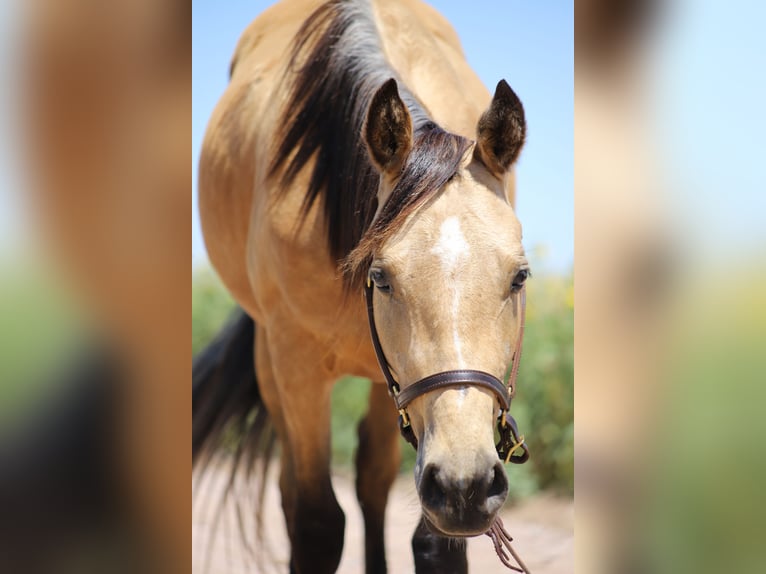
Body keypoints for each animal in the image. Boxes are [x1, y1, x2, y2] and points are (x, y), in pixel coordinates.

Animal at [194, 1, 536, 574]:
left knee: (372, 482)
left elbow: (433, 543)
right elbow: (316, 523)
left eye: (519, 276)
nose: (466, 485)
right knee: (292, 491)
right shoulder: (297, 364)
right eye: (381, 277)